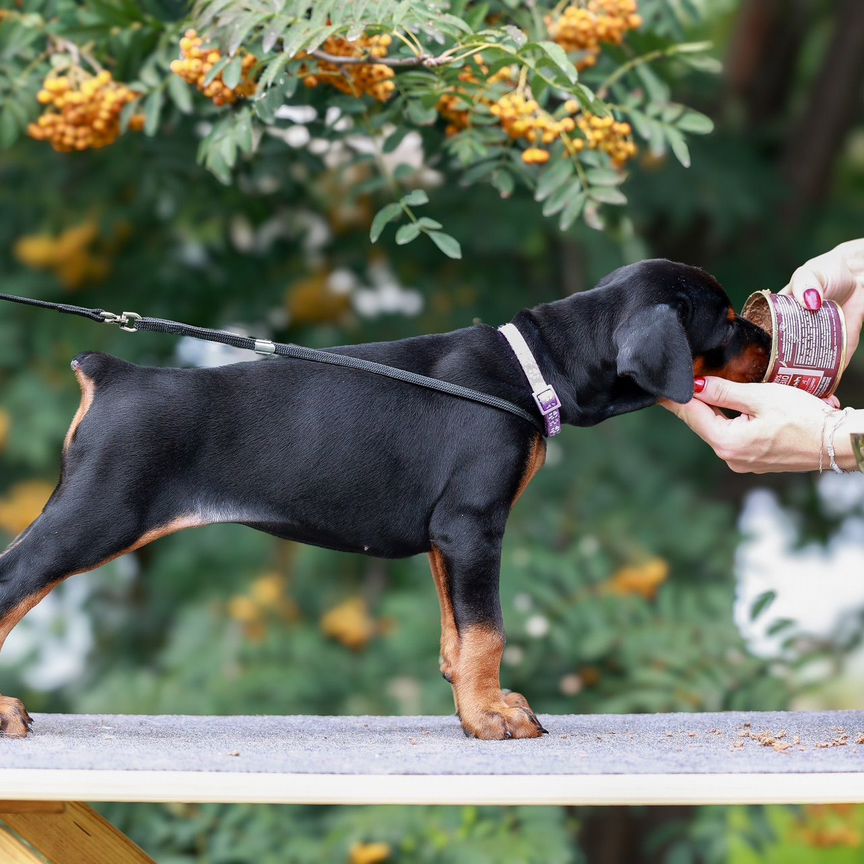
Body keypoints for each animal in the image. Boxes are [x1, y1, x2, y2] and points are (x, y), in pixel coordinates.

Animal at [0, 260, 768, 740]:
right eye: (729, 320)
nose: (766, 331)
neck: (534, 366)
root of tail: (111, 373)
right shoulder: (473, 525)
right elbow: (489, 628)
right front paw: (490, 717)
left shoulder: (445, 535)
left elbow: (458, 631)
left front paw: (474, 703)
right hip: (98, 515)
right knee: (13, 582)